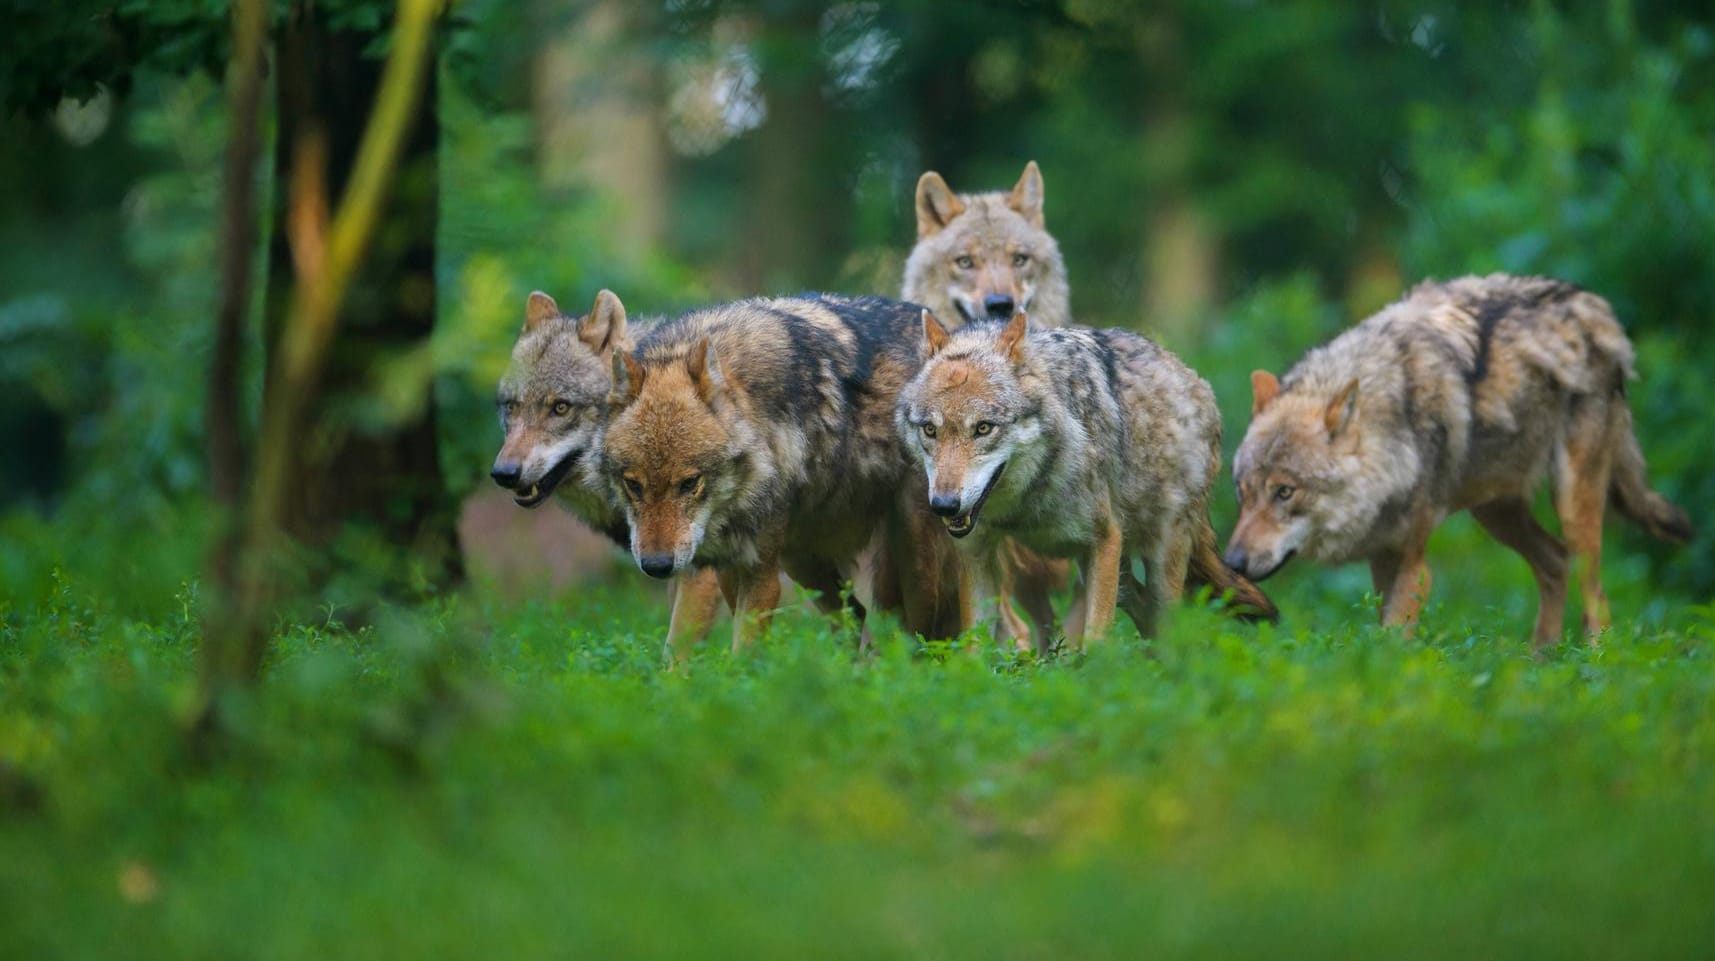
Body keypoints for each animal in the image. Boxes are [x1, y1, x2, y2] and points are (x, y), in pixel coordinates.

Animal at [603, 296, 953, 648]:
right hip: (800, 560)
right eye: (633, 485)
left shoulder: (760, 574)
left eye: (689, 483)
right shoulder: (719, 567)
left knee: (921, 634)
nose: (656, 566)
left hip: (913, 560)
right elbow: (680, 647)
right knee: (855, 613)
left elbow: (742, 650)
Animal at [898, 312, 1275, 648]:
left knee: (1168, 625)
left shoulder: (1105, 539)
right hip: (1113, 574)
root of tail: (1194, 380)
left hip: (1158, 559)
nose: (944, 506)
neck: (1024, 506)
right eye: (930, 430)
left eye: (983, 428)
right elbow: (975, 648)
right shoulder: (976, 554)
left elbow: (1096, 640)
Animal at [1227, 272, 1694, 645]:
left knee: (1595, 594)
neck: (1394, 427)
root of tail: (1596, 308)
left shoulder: (1415, 564)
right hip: (1496, 513)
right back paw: (1540, 662)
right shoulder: (1383, 556)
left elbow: (1394, 638)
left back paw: (1593, 665)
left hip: (1572, 507)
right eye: (1242, 493)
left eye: (1285, 492)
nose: (1232, 562)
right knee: (1555, 563)